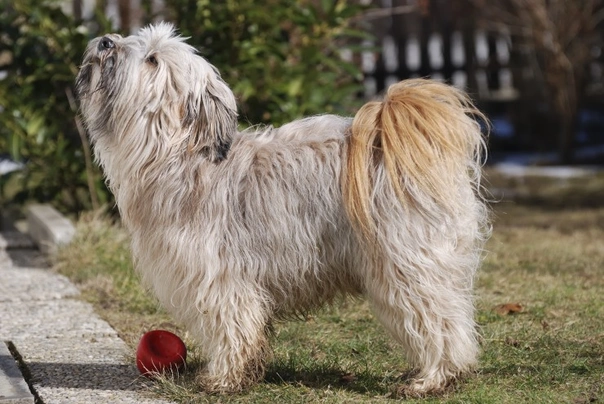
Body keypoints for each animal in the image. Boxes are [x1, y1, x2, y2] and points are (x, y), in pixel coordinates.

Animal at [76, 22, 490, 394]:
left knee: (439, 319)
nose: (105, 41)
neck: (177, 154)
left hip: (405, 261)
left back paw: (433, 378)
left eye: (151, 59)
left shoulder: (219, 276)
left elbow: (232, 326)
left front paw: (223, 379)